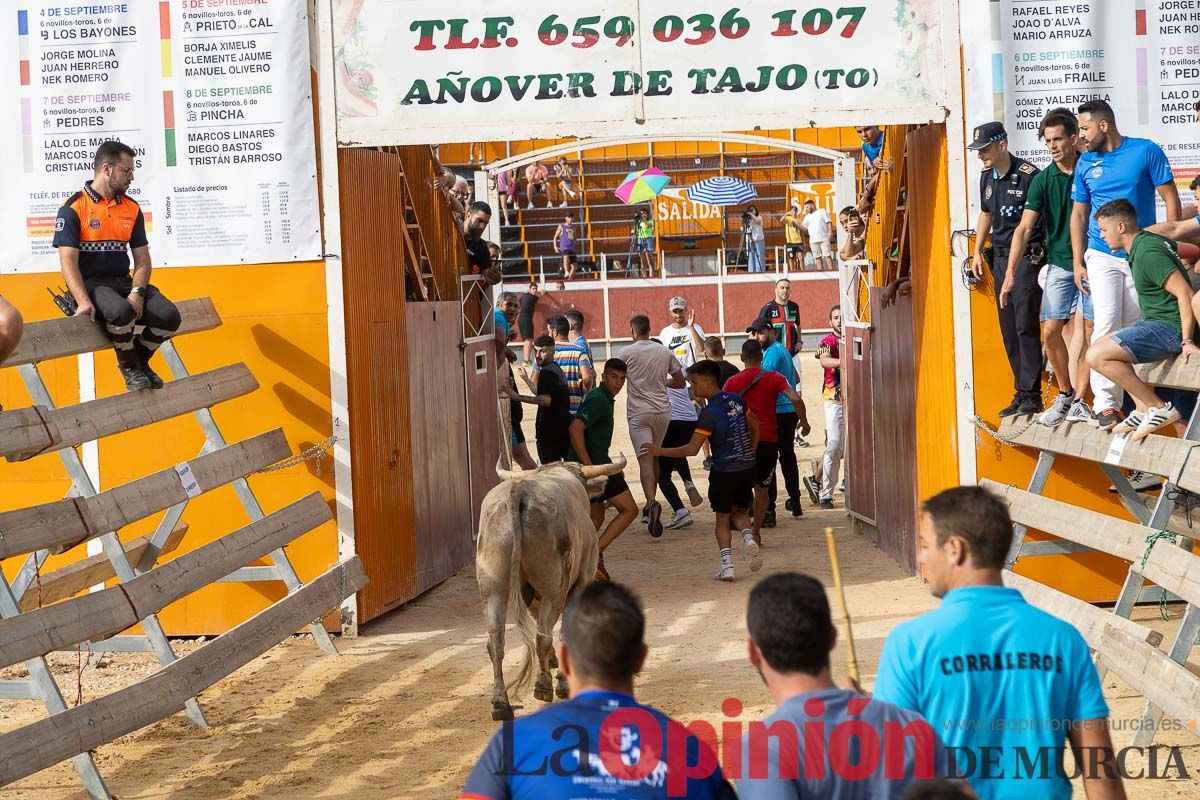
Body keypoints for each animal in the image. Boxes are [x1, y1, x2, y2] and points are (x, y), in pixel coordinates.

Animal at [477, 453, 628, 724]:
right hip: (553, 588)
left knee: (497, 641)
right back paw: (545, 686)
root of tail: (519, 492)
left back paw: (500, 703)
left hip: (493, 588)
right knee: (543, 636)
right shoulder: (581, 580)